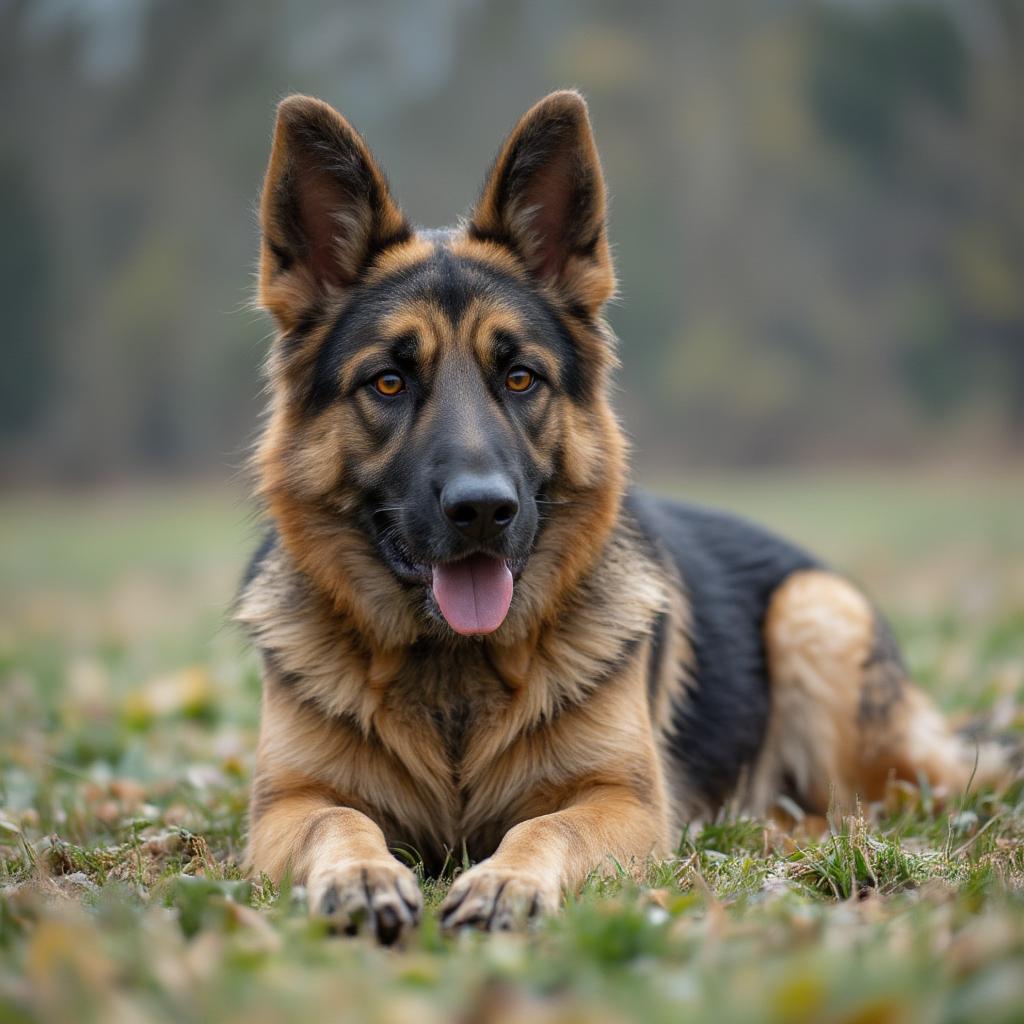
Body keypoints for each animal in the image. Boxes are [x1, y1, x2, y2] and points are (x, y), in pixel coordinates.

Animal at [237, 92, 1007, 937]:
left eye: (520, 377)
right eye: (387, 383)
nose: (483, 511)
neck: (455, 676)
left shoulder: (624, 801)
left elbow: (546, 825)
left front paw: (507, 881)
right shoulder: (285, 805)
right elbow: (338, 819)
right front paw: (362, 874)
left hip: (815, 619)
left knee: (892, 799)